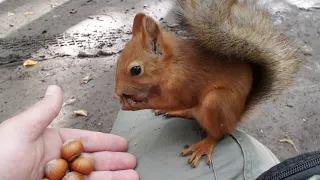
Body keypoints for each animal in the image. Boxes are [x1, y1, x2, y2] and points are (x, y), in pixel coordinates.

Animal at [114, 0, 302, 168]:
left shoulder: (186, 83)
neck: (172, 65)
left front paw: (136, 104)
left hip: (216, 102)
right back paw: (178, 112)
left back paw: (203, 146)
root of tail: (235, 118)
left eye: (136, 70)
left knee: (218, 134)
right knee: (192, 113)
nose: (117, 92)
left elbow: (174, 100)